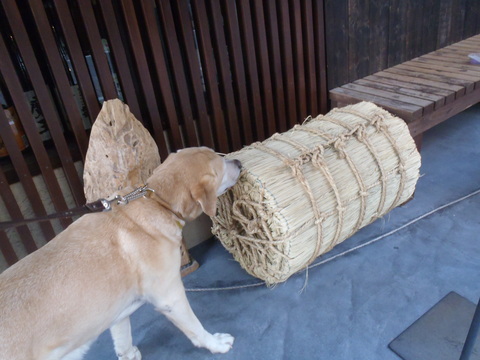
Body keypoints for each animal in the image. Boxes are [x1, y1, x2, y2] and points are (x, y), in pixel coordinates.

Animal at [0, 148, 240, 358]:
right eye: (222, 165)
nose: (238, 162)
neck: (158, 202)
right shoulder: (170, 297)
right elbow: (195, 328)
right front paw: (215, 343)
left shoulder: (116, 309)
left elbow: (122, 334)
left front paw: (127, 354)